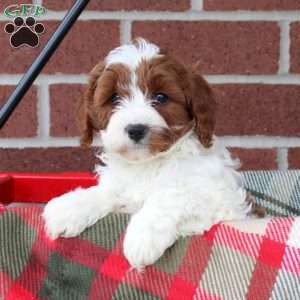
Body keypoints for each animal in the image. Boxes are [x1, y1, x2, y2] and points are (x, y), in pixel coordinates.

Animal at [42, 38, 251, 268]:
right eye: (114, 98)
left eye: (161, 97)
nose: (136, 129)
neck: (148, 164)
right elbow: (107, 192)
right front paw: (69, 207)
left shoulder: (218, 197)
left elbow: (169, 196)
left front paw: (142, 237)